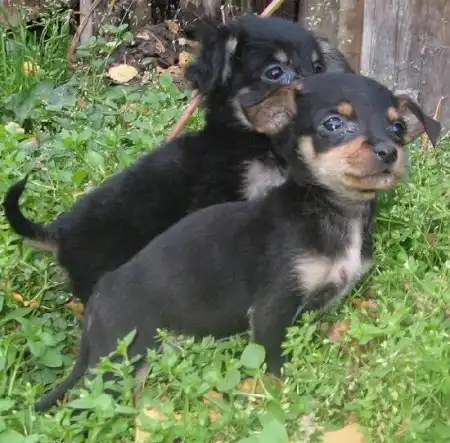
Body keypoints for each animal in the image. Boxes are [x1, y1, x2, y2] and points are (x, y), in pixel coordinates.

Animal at [34, 72, 441, 411]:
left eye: (398, 126)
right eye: (333, 124)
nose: (388, 151)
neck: (334, 212)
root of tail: (96, 303)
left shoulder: (320, 304)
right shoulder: (272, 310)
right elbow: (276, 368)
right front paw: (286, 403)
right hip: (121, 359)